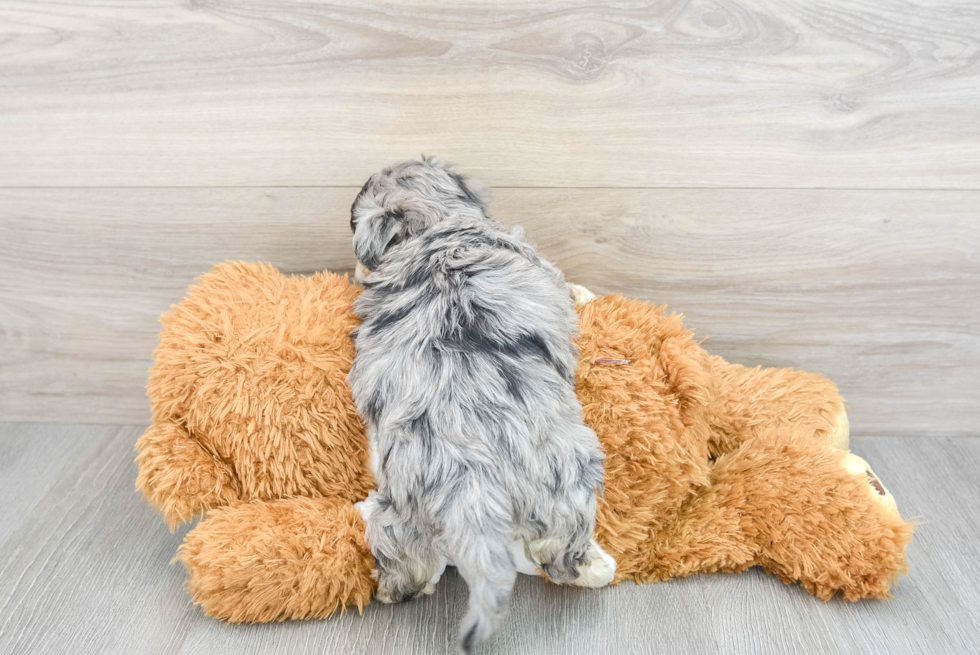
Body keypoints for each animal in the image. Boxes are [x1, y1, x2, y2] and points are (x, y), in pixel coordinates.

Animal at [348, 160, 616, 655]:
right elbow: (567, 286)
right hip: (567, 474)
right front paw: (585, 294)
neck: (436, 227)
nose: (358, 267)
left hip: (429, 499)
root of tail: (472, 472)